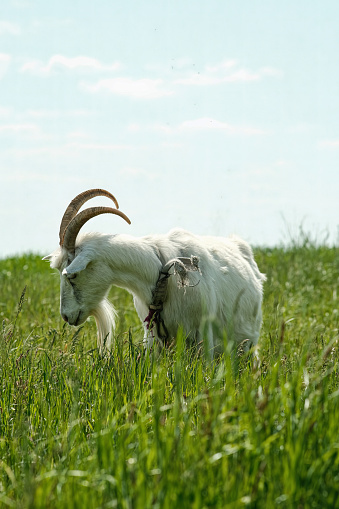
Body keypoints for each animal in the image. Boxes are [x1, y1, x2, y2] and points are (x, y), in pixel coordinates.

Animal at [43, 189, 266, 356]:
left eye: (72, 275)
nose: (66, 316)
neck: (162, 275)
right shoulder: (152, 335)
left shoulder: (203, 336)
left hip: (249, 340)